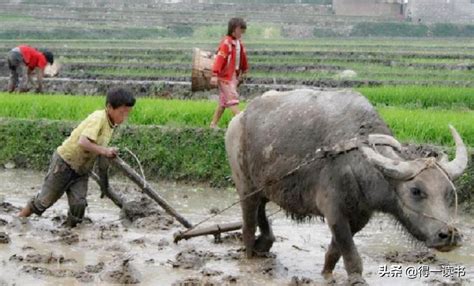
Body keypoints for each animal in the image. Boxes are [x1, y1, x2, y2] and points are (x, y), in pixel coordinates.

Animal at [225, 89, 466, 284]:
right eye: (416, 191)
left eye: (449, 193)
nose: (449, 234)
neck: (356, 163)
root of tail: (238, 120)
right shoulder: (334, 212)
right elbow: (350, 253)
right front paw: (356, 279)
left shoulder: (360, 217)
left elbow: (334, 251)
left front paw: (326, 273)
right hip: (244, 185)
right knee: (248, 224)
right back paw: (250, 254)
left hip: (263, 187)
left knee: (261, 211)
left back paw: (264, 244)